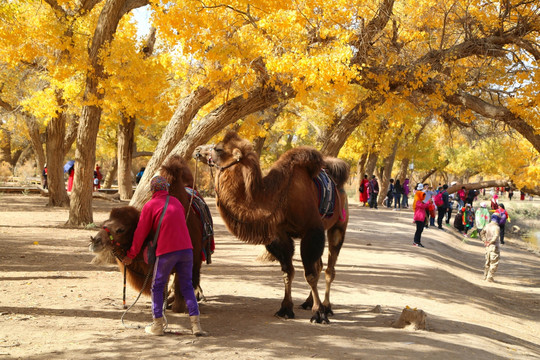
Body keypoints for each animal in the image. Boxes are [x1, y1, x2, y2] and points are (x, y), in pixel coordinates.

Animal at [89, 156, 214, 314]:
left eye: (120, 229)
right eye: (104, 223)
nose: (95, 241)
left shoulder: (188, 257)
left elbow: (180, 291)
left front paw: (177, 305)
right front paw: (164, 302)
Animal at [194, 131, 350, 324]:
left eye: (218, 149)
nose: (198, 150)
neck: (278, 198)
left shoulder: (312, 230)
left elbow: (310, 275)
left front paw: (319, 313)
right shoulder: (279, 235)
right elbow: (288, 272)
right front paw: (285, 309)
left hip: (338, 226)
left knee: (329, 269)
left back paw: (326, 307)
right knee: (319, 265)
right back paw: (307, 302)